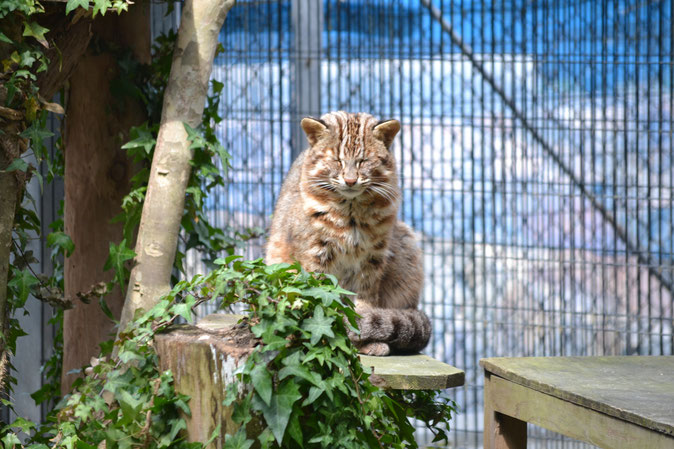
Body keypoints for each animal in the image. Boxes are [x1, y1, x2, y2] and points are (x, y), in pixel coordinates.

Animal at [264, 110, 430, 356]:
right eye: (336, 160)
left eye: (364, 160)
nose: (350, 180)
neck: (351, 216)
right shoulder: (315, 256)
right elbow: (318, 298)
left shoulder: (371, 261)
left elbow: (361, 304)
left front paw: (362, 337)